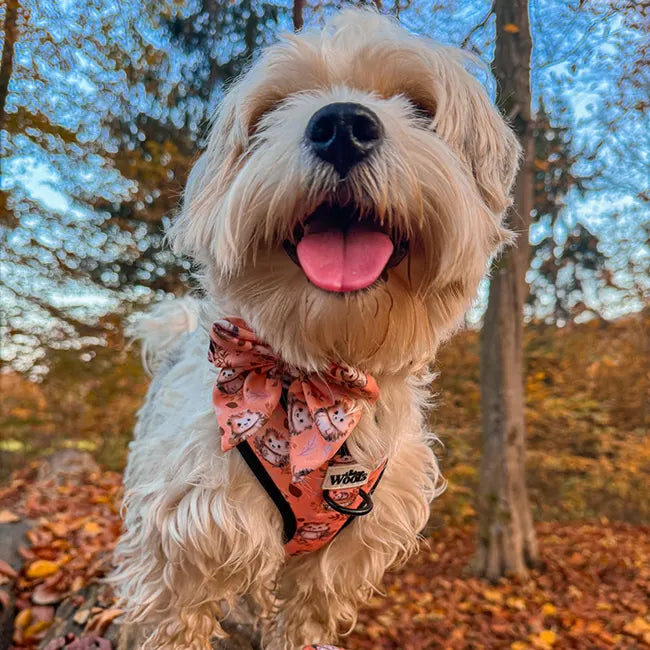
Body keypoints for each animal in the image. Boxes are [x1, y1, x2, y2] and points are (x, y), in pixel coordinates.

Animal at [111, 6, 516, 648]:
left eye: (420, 106)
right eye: (275, 106)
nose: (342, 125)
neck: (313, 377)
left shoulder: (341, 560)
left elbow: (304, 617)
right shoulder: (181, 546)